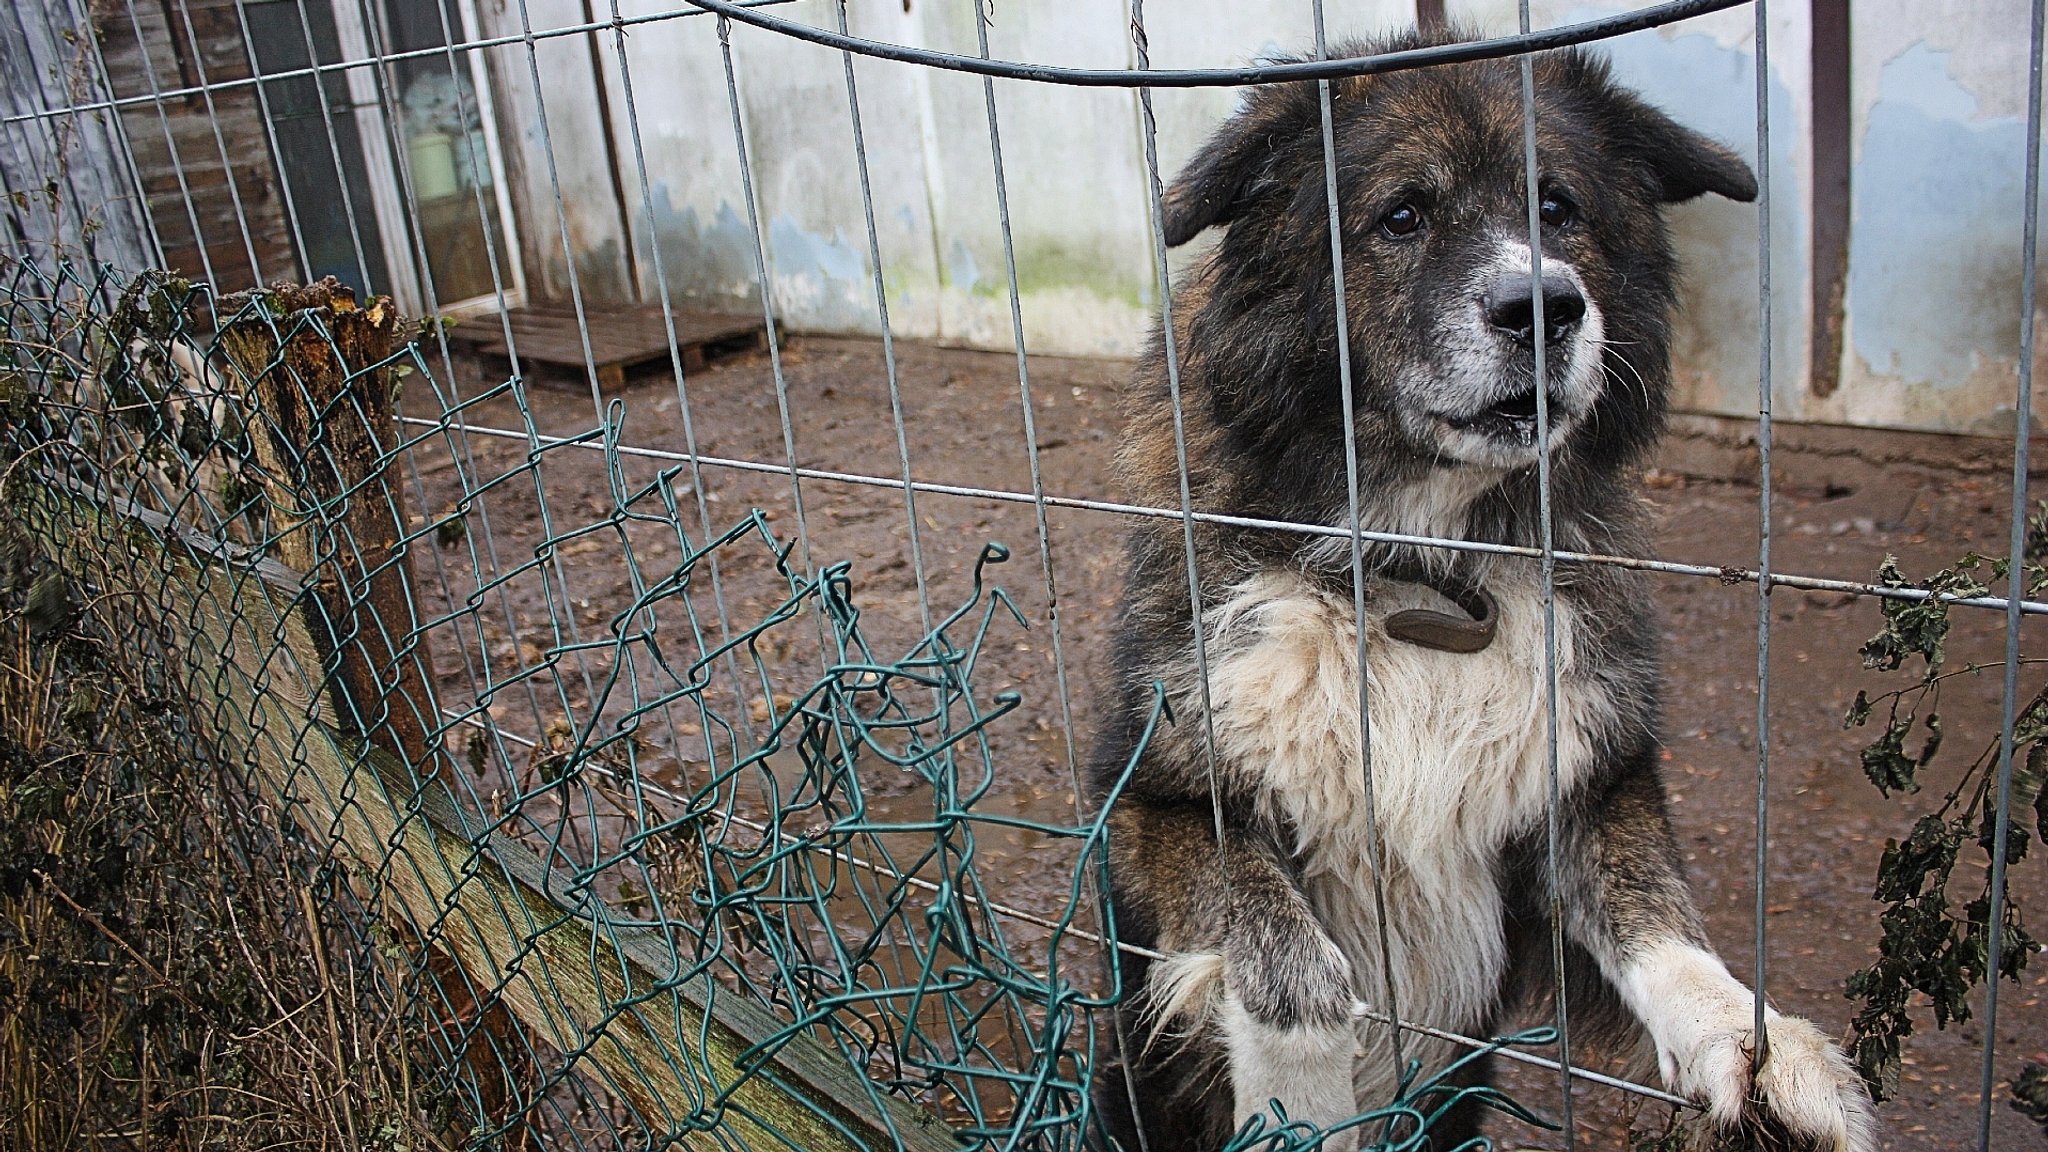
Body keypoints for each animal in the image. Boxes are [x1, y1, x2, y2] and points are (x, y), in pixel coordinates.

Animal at [1097, 26, 1875, 1147]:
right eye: (1401, 216)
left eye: (1558, 207)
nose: (1544, 306)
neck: (1424, 568)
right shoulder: (1151, 796)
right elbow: (1287, 967)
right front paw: (1299, 1102)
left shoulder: (1587, 779)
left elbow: (1652, 910)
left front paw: (1755, 1044)